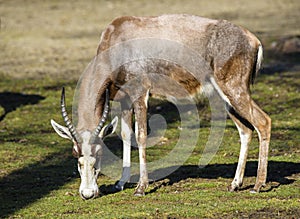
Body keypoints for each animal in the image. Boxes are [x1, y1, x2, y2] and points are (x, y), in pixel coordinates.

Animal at [51, 13, 272, 198]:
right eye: (75, 154)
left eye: (98, 153)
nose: (88, 193)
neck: (118, 38)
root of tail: (253, 40)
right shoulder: (124, 100)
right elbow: (125, 135)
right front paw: (121, 183)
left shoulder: (140, 93)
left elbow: (140, 136)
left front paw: (141, 188)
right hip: (224, 97)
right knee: (245, 130)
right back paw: (235, 184)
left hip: (234, 90)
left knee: (263, 122)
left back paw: (257, 185)